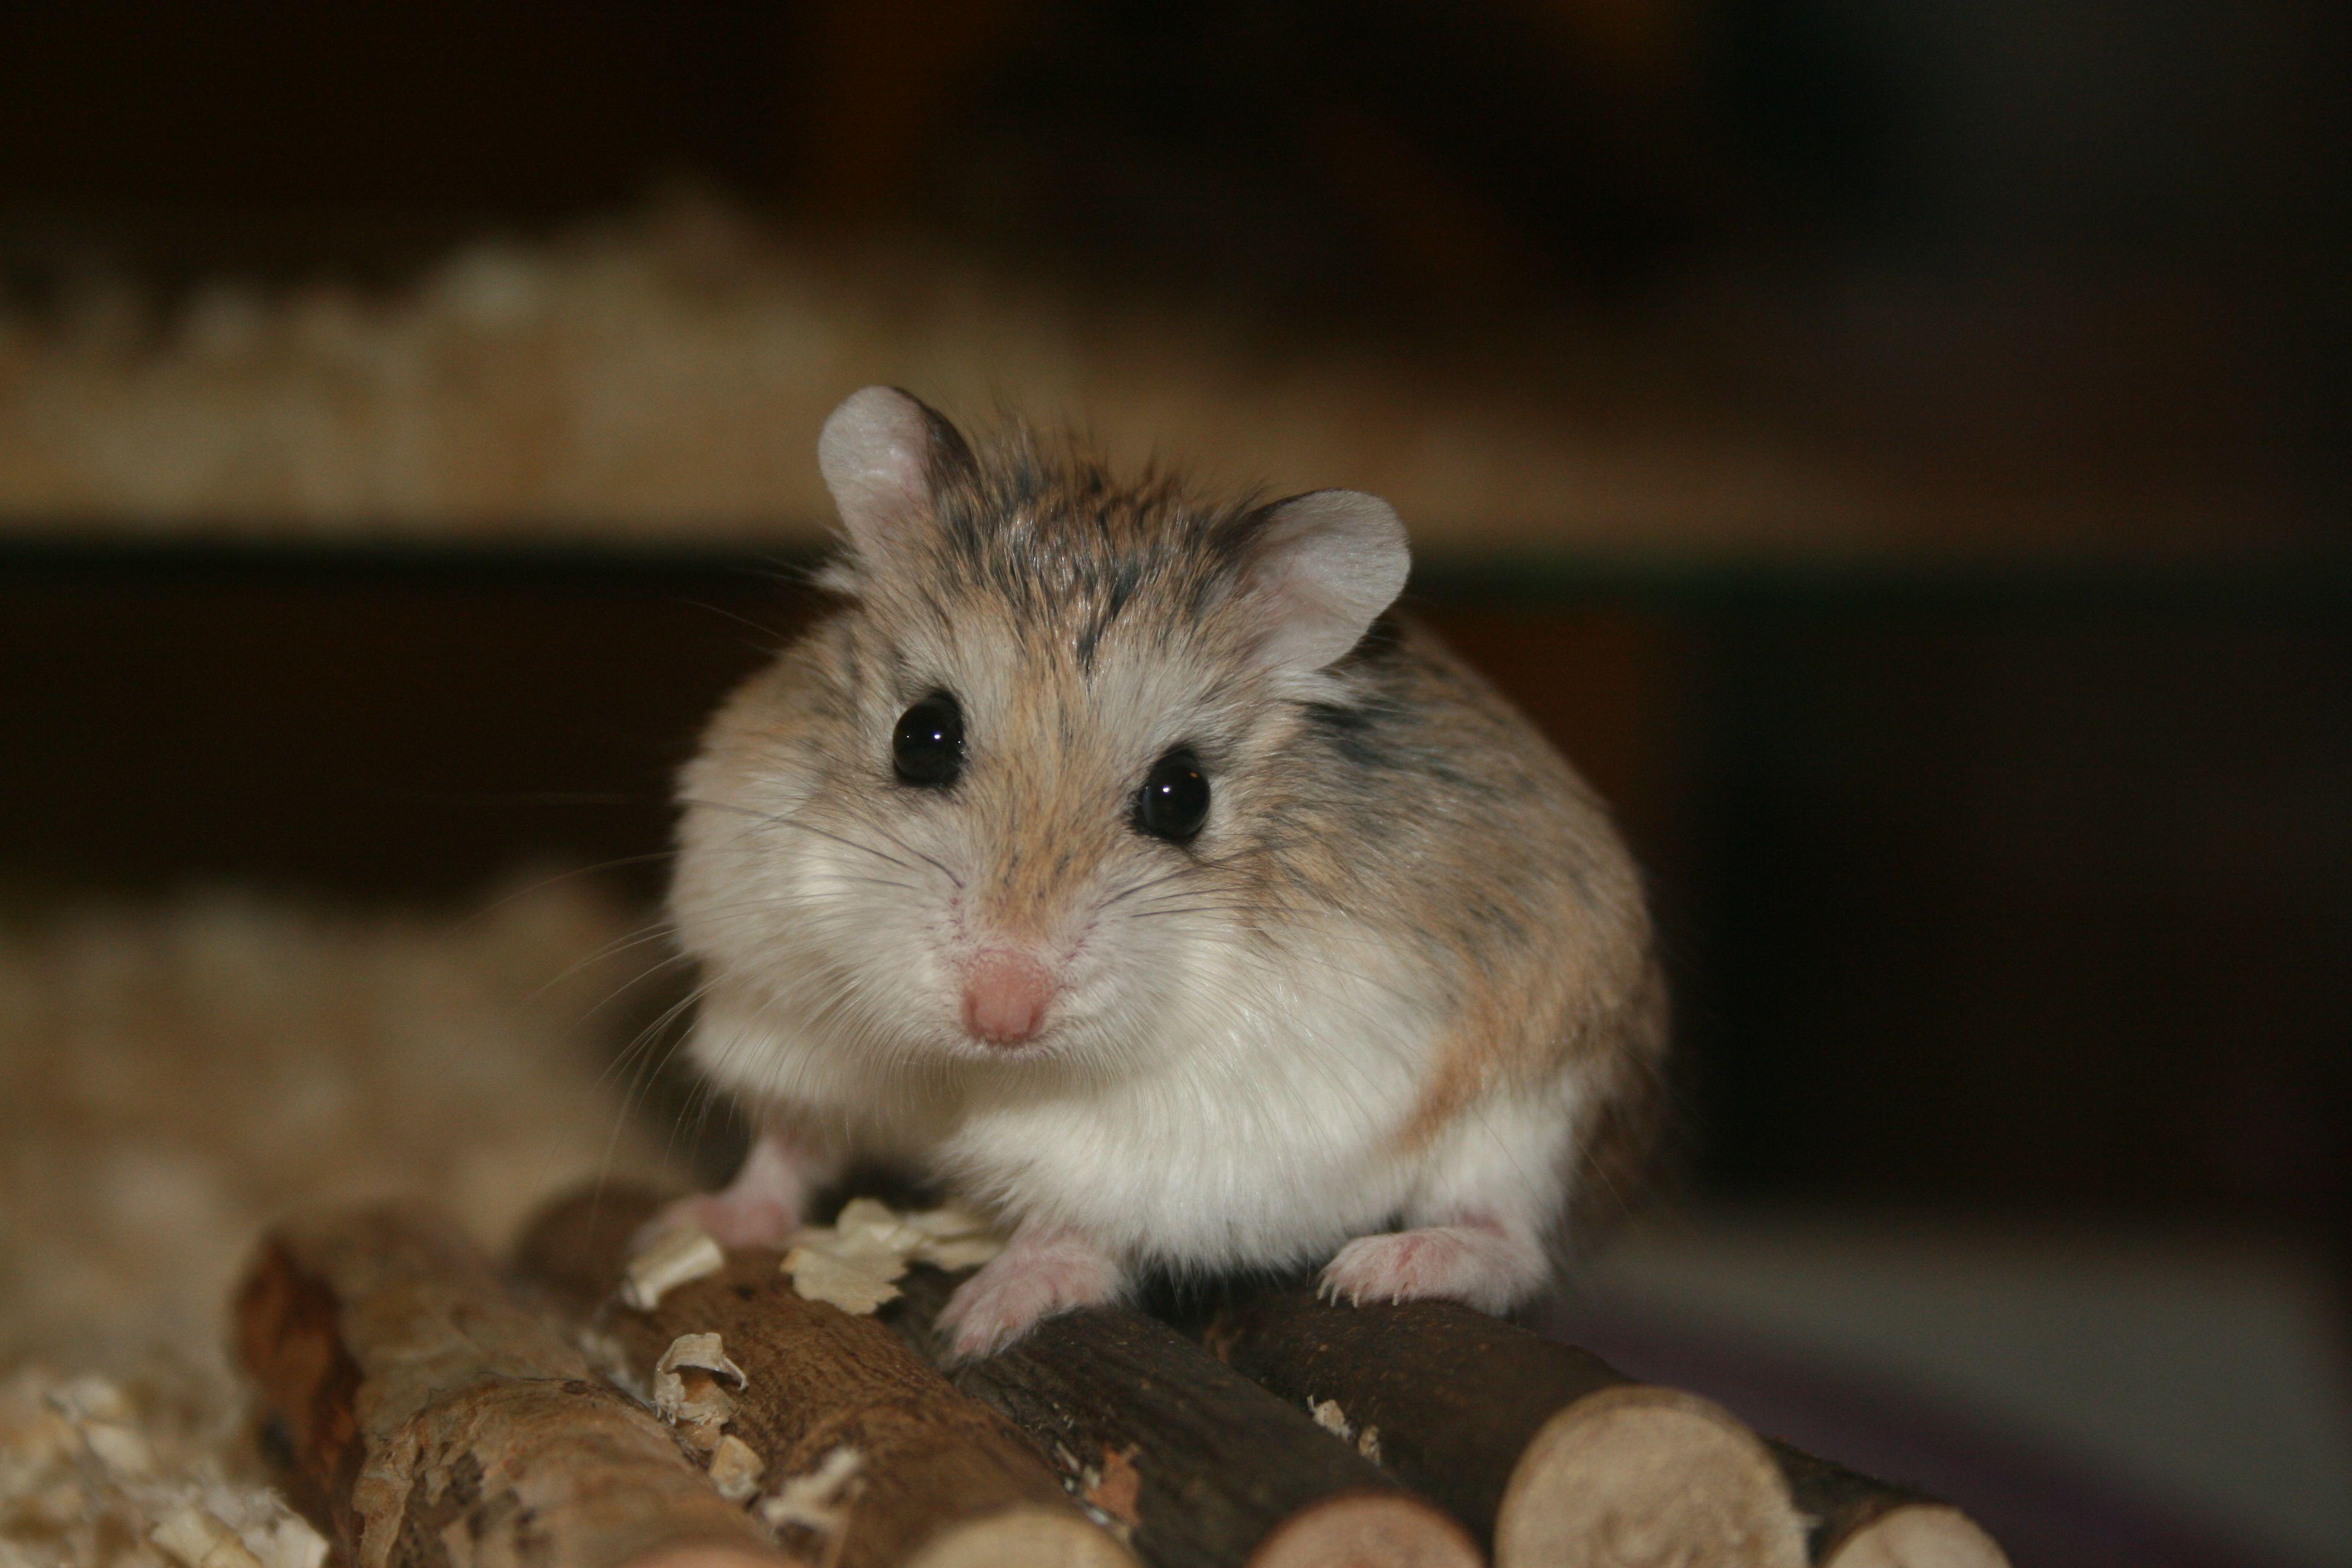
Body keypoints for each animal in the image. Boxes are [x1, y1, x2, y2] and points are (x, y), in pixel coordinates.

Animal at [660, 386, 1665, 1357]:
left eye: (1184, 796)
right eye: (921, 736)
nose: (1001, 1014)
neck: (971, 1069)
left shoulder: (1182, 1138)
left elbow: (1084, 1219)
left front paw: (981, 1318)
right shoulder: (782, 1014)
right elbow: (785, 1148)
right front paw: (689, 1225)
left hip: (1538, 1111)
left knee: (1511, 1240)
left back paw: (1386, 1268)